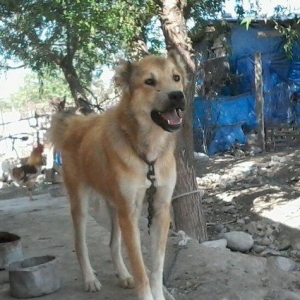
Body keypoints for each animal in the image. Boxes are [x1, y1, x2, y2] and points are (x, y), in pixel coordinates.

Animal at [48, 52, 186, 300]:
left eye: (176, 77)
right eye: (149, 81)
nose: (177, 96)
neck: (148, 154)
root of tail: (76, 123)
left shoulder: (160, 210)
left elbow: (156, 268)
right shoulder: (130, 213)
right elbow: (141, 269)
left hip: (115, 206)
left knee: (113, 243)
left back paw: (123, 275)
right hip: (81, 204)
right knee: (80, 244)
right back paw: (90, 279)